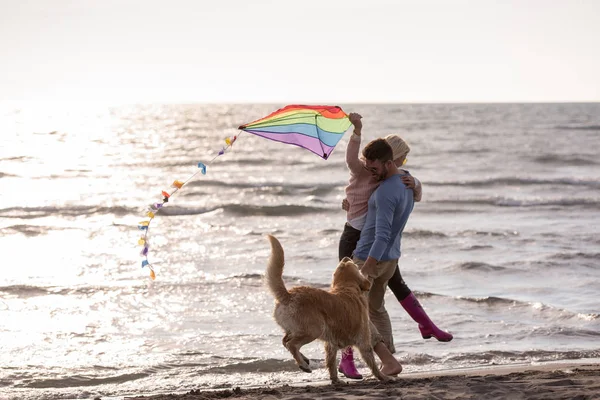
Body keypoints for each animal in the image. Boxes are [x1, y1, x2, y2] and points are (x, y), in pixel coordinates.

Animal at [264, 234, 390, 384]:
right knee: (291, 345)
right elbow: (372, 363)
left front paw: (336, 380)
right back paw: (303, 364)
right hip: (314, 329)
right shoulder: (364, 341)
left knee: (285, 341)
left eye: (343, 264)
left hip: (297, 329)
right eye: (353, 265)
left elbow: (331, 363)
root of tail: (288, 295)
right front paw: (383, 377)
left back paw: (304, 359)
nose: (346, 256)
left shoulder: (331, 344)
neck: (346, 287)